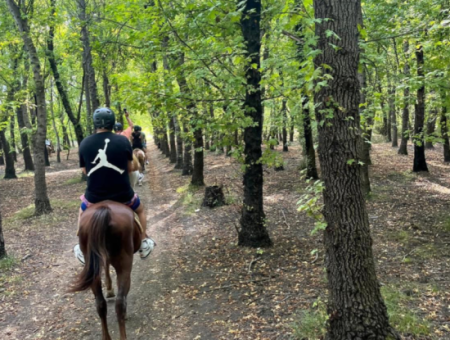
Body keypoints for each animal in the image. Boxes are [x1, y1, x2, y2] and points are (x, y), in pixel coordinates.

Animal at [69, 202, 143, 340]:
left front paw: (109, 289)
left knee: (100, 303)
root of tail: (104, 210)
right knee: (120, 302)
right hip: (124, 265)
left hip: (93, 266)